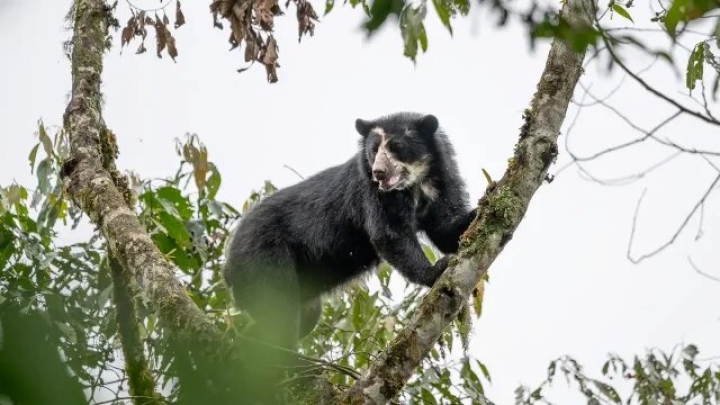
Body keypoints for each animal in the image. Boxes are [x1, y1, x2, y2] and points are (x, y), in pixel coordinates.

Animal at [222, 112, 476, 348]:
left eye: (397, 147)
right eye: (373, 151)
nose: (379, 172)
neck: (416, 183)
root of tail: (229, 264)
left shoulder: (442, 182)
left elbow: (446, 228)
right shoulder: (372, 194)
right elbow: (390, 234)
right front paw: (435, 270)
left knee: (298, 318)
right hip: (263, 257)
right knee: (279, 309)